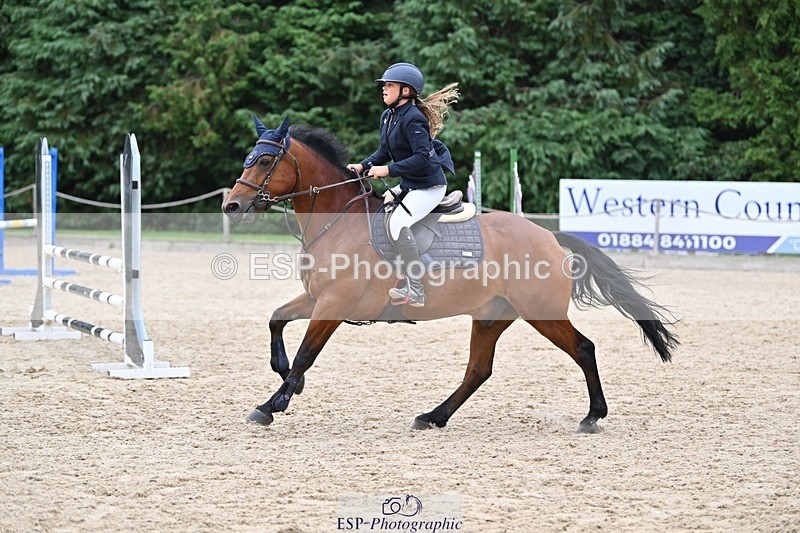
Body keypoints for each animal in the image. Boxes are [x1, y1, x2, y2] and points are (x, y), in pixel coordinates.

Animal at [222, 116, 679, 433]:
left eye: (266, 159)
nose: (232, 205)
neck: (336, 221)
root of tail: (547, 235)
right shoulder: (317, 299)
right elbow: (276, 320)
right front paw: (287, 380)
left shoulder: (333, 304)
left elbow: (306, 354)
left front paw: (271, 405)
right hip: (492, 315)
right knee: (478, 370)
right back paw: (432, 416)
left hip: (542, 313)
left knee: (583, 349)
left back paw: (592, 416)